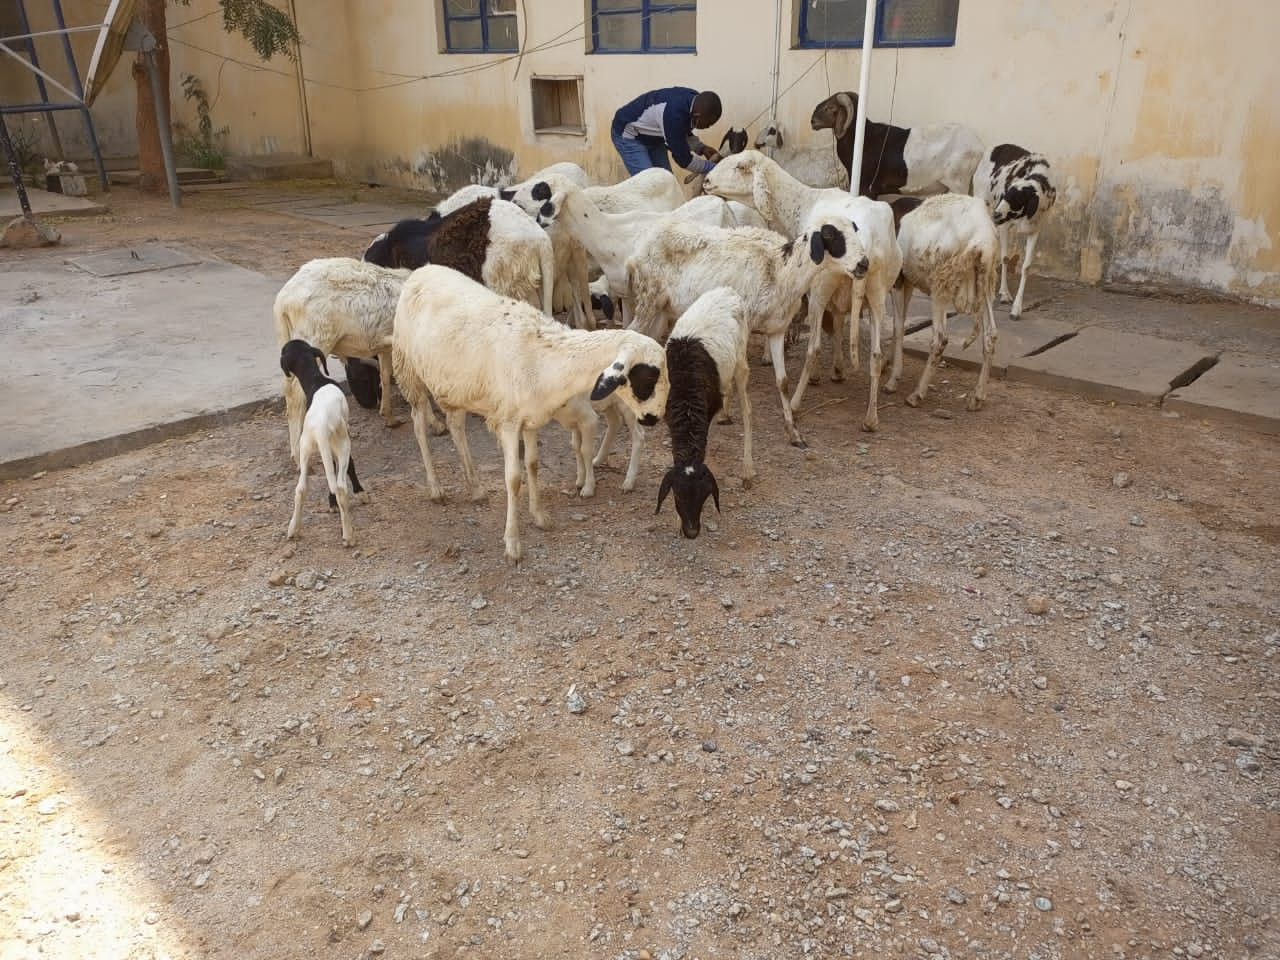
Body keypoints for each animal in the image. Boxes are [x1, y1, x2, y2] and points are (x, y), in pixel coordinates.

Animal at [280, 340, 360, 547]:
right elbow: (350, 466)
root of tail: (321, 426)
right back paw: (348, 535)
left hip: (306, 450)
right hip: (342, 445)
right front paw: (360, 492)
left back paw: (293, 529)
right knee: (340, 487)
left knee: (301, 488)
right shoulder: (343, 435)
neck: (316, 380)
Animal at [389, 263, 670, 563]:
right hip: (409, 370)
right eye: (649, 375)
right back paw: (435, 488)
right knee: (419, 427)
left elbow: (533, 465)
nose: (655, 417)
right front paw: (513, 543)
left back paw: (475, 487)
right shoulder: (509, 423)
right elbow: (513, 479)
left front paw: (539, 516)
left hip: (456, 387)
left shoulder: (531, 419)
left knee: (456, 426)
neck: (544, 357)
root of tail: (421, 270)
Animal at [655, 285, 752, 542]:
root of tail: (728, 290)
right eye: (677, 496)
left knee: (748, 410)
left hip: (741, 360)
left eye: (705, 497)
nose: (692, 532)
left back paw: (748, 470)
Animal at [814, 91, 983, 200]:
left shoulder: (867, 189)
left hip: (958, 183)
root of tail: (979, 147)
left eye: (830, 108)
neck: (863, 139)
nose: (812, 121)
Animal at [972, 144, 1054, 320]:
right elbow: (1004, 258)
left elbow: (1026, 266)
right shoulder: (1004, 225)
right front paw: (1004, 294)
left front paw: (1017, 308)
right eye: (1004, 195)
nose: (996, 214)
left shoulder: (1034, 230)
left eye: (1016, 200)